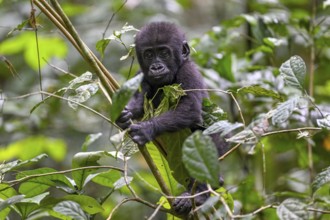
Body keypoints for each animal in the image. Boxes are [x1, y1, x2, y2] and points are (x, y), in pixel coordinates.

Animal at [116, 21, 224, 214]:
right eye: (149, 54)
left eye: (164, 53)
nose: (156, 67)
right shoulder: (140, 75)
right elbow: (138, 101)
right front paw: (124, 117)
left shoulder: (188, 71)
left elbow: (190, 108)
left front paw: (146, 129)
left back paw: (199, 193)